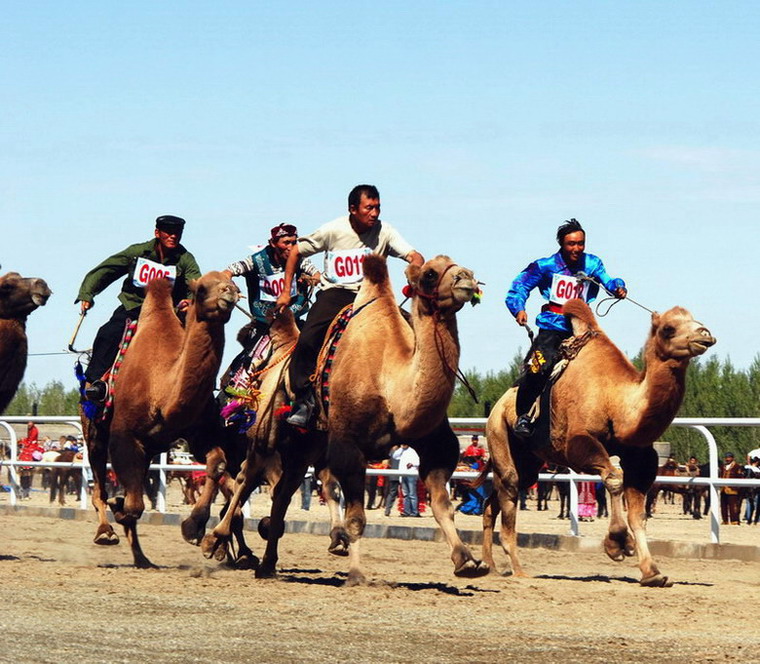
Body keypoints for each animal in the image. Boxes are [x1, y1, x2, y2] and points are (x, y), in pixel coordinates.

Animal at [81, 270, 239, 564]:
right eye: (200, 289)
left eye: (233, 281)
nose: (229, 292)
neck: (162, 388)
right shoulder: (124, 436)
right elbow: (132, 504)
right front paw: (118, 507)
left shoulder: (197, 434)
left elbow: (217, 465)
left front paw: (194, 527)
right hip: (94, 430)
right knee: (99, 486)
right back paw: (106, 532)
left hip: (151, 449)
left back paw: (142, 559)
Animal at [478, 300, 716, 588]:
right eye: (669, 328)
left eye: (695, 320)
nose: (705, 335)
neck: (615, 402)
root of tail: (497, 408)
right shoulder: (576, 444)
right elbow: (614, 479)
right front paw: (617, 544)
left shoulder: (640, 457)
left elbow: (638, 514)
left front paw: (653, 573)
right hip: (499, 437)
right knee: (509, 494)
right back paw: (518, 569)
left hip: (529, 462)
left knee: (492, 502)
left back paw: (490, 566)